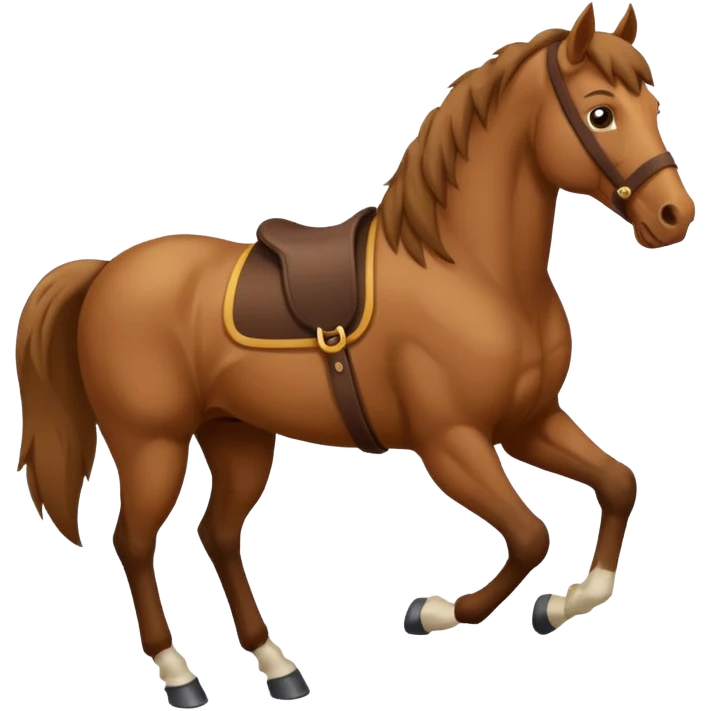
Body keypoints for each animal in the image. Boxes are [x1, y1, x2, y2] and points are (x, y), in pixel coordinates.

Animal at [15, 2, 694, 706]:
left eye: (654, 106)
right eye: (600, 114)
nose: (675, 215)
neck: (472, 272)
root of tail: (105, 272)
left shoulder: (529, 422)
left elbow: (619, 484)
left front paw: (562, 605)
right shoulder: (452, 442)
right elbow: (532, 535)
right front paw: (430, 611)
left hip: (237, 437)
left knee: (219, 535)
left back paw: (277, 666)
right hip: (152, 444)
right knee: (134, 540)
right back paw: (179, 675)